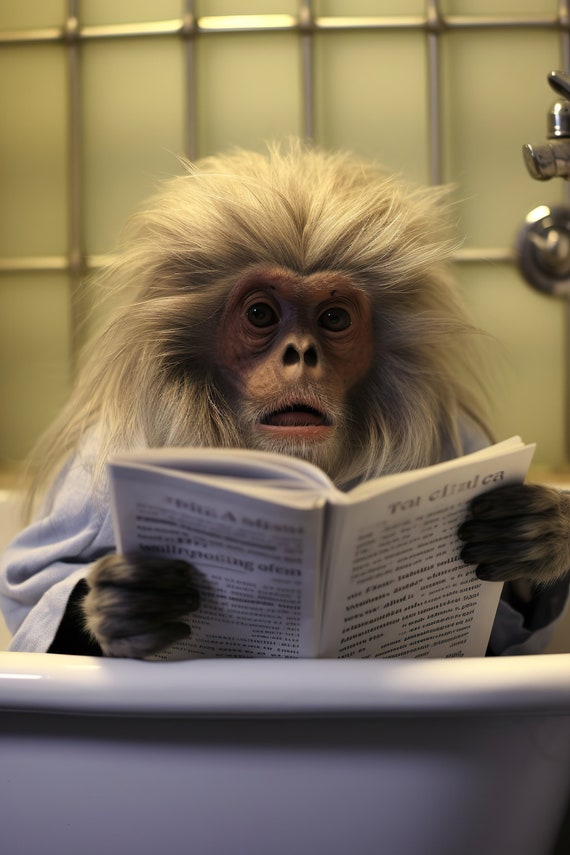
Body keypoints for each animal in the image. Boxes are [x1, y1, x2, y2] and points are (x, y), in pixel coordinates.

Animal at [0, 140, 568, 659]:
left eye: (333, 318)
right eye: (260, 314)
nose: (301, 354)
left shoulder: (462, 440)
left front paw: (537, 537)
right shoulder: (96, 470)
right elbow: (29, 587)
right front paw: (125, 606)